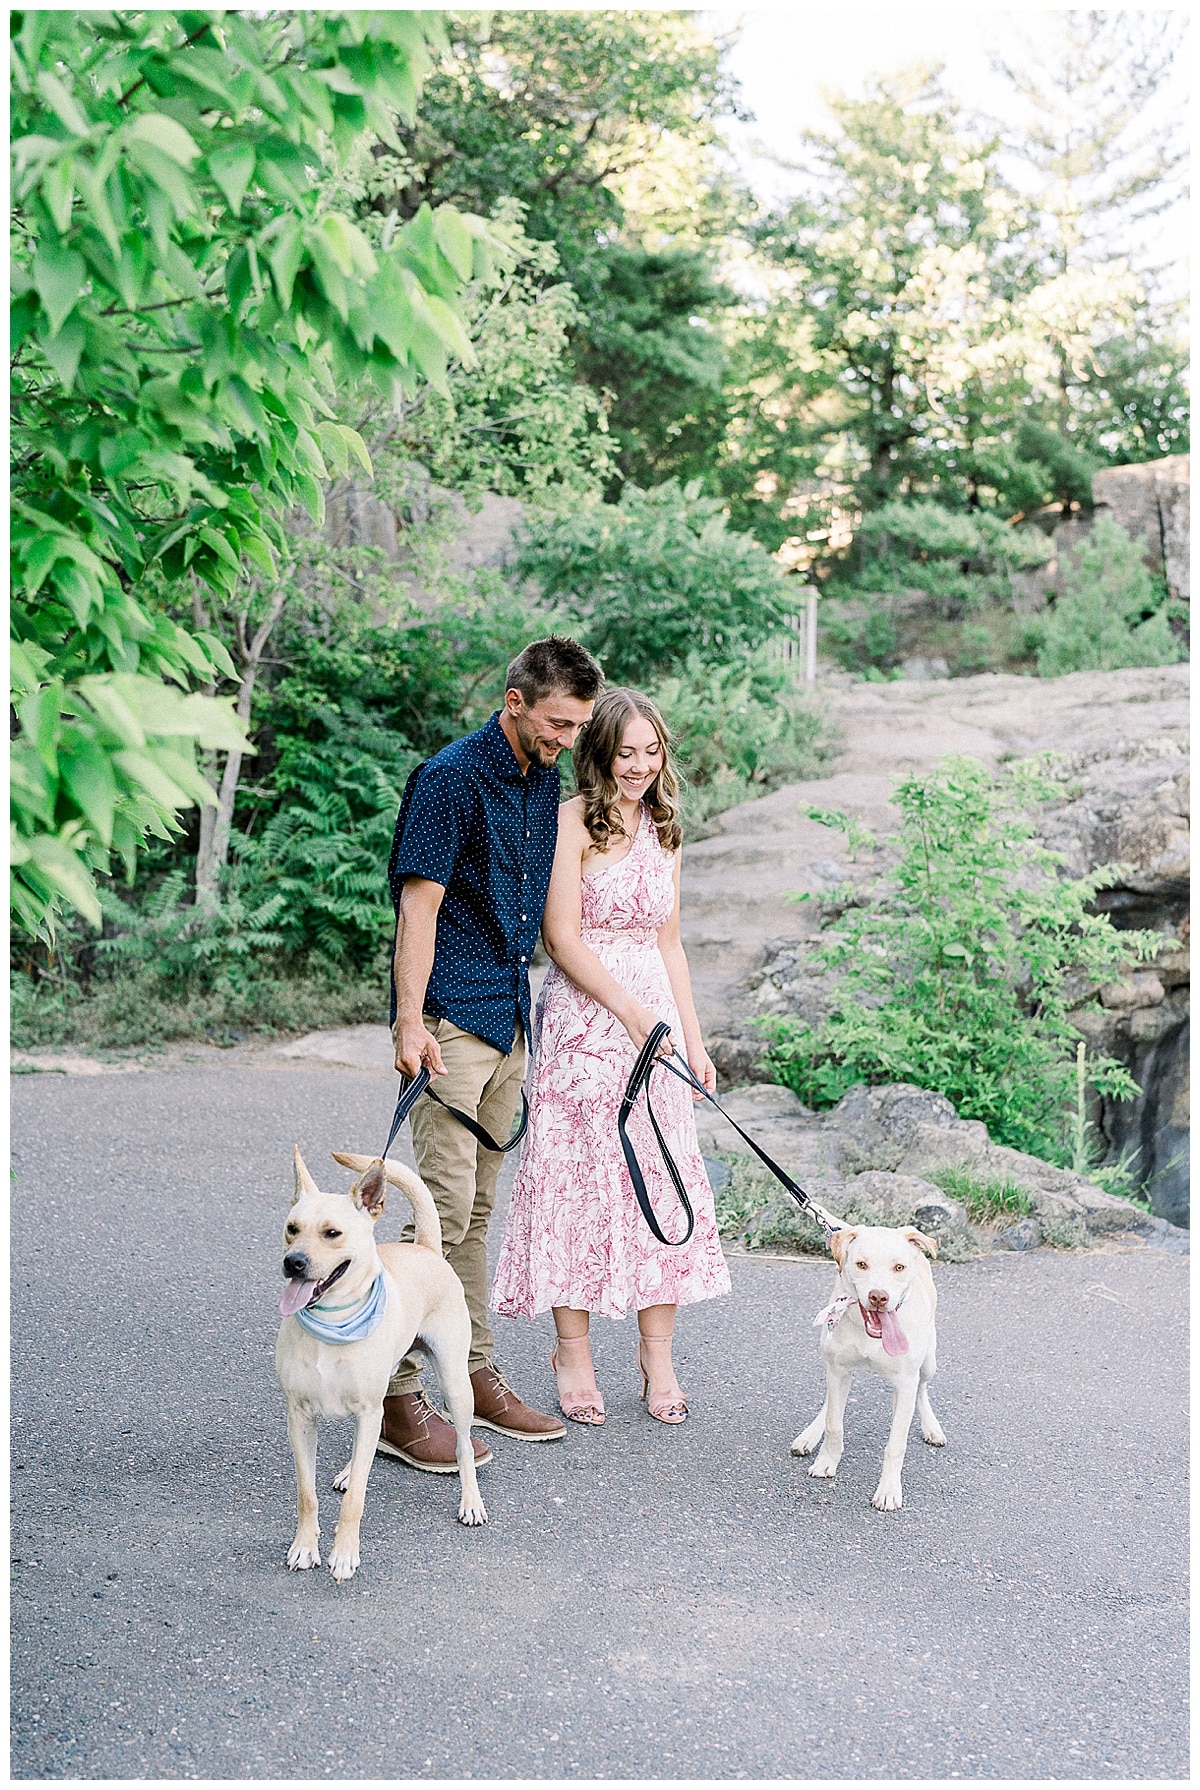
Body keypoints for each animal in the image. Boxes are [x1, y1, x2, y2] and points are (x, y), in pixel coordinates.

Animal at [275, 1145, 487, 1582]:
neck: (332, 1322)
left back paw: (471, 1501)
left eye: (332, 1233)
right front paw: (305, 1547)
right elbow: (307, 1493)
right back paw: (347, 1469)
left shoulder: (366, 1411)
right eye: (292, 1228)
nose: (293, 1262)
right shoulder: (299, 1418)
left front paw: (344, 1554)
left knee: (462, 1446)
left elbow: (356, 1497)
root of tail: (425, 1247)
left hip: (456, 1384)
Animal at [795, 1217, 952, 1510]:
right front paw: (826, 1461)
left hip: (928, 1362)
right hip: (829, 1360)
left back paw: (932, 1428)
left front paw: (889, 1490)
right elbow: (834, 1423)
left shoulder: (905, 1381)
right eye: (861, 1264)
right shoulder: (838, 1371)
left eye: (899, 1267)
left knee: (922, 1390)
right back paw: (809, 1435)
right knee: (830, 1403)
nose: (879, 1297)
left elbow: (896, 1444)